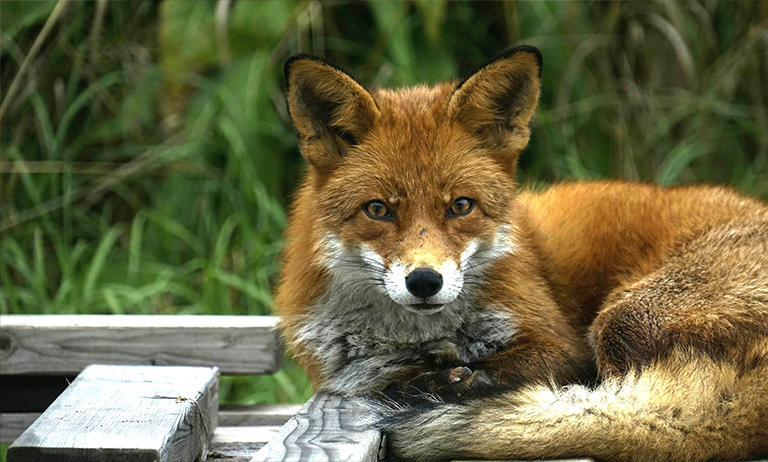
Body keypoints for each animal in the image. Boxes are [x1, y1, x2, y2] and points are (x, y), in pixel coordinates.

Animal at [276, 47, 768, 462]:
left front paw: (456, 380)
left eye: (461, 206)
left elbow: (503, 369)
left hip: (625, 318)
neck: (411, 336)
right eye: (377, 210)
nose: (425, 281)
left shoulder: (561, 345)